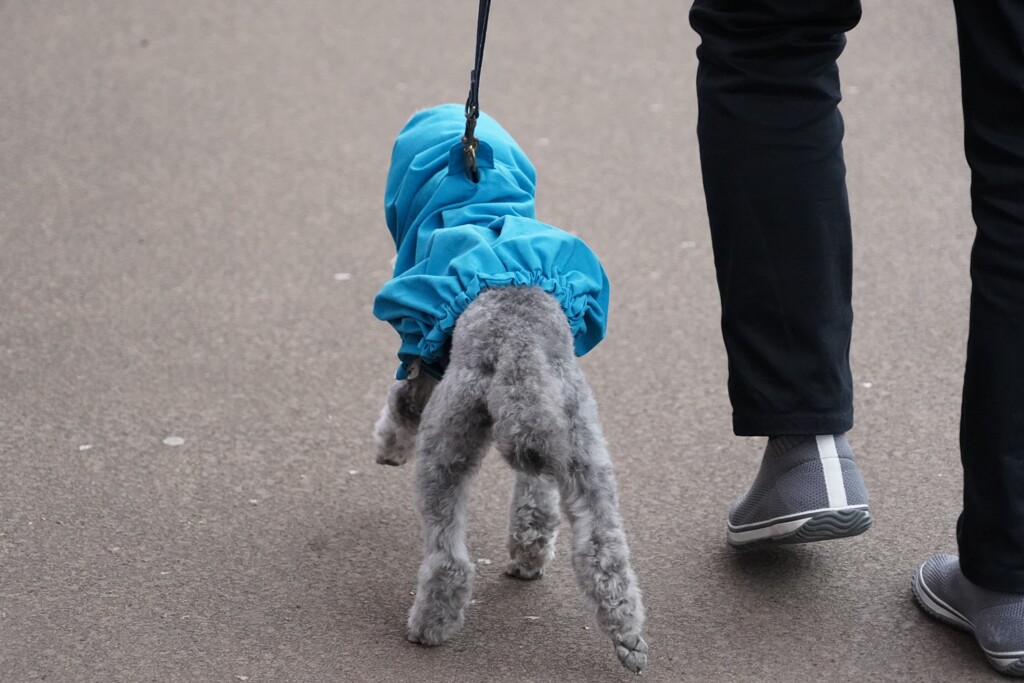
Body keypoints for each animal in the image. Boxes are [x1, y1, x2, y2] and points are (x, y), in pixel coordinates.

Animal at [372, 107, 647, 671]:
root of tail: (519, 344)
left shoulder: (420, 349)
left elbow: (401, 402)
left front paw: (388, 447)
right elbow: (537, 498)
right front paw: (529, 548)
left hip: (447, 446)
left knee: (449, 556)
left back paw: (429, 625)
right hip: (578, 438)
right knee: (602, 549)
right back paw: (626, 637)